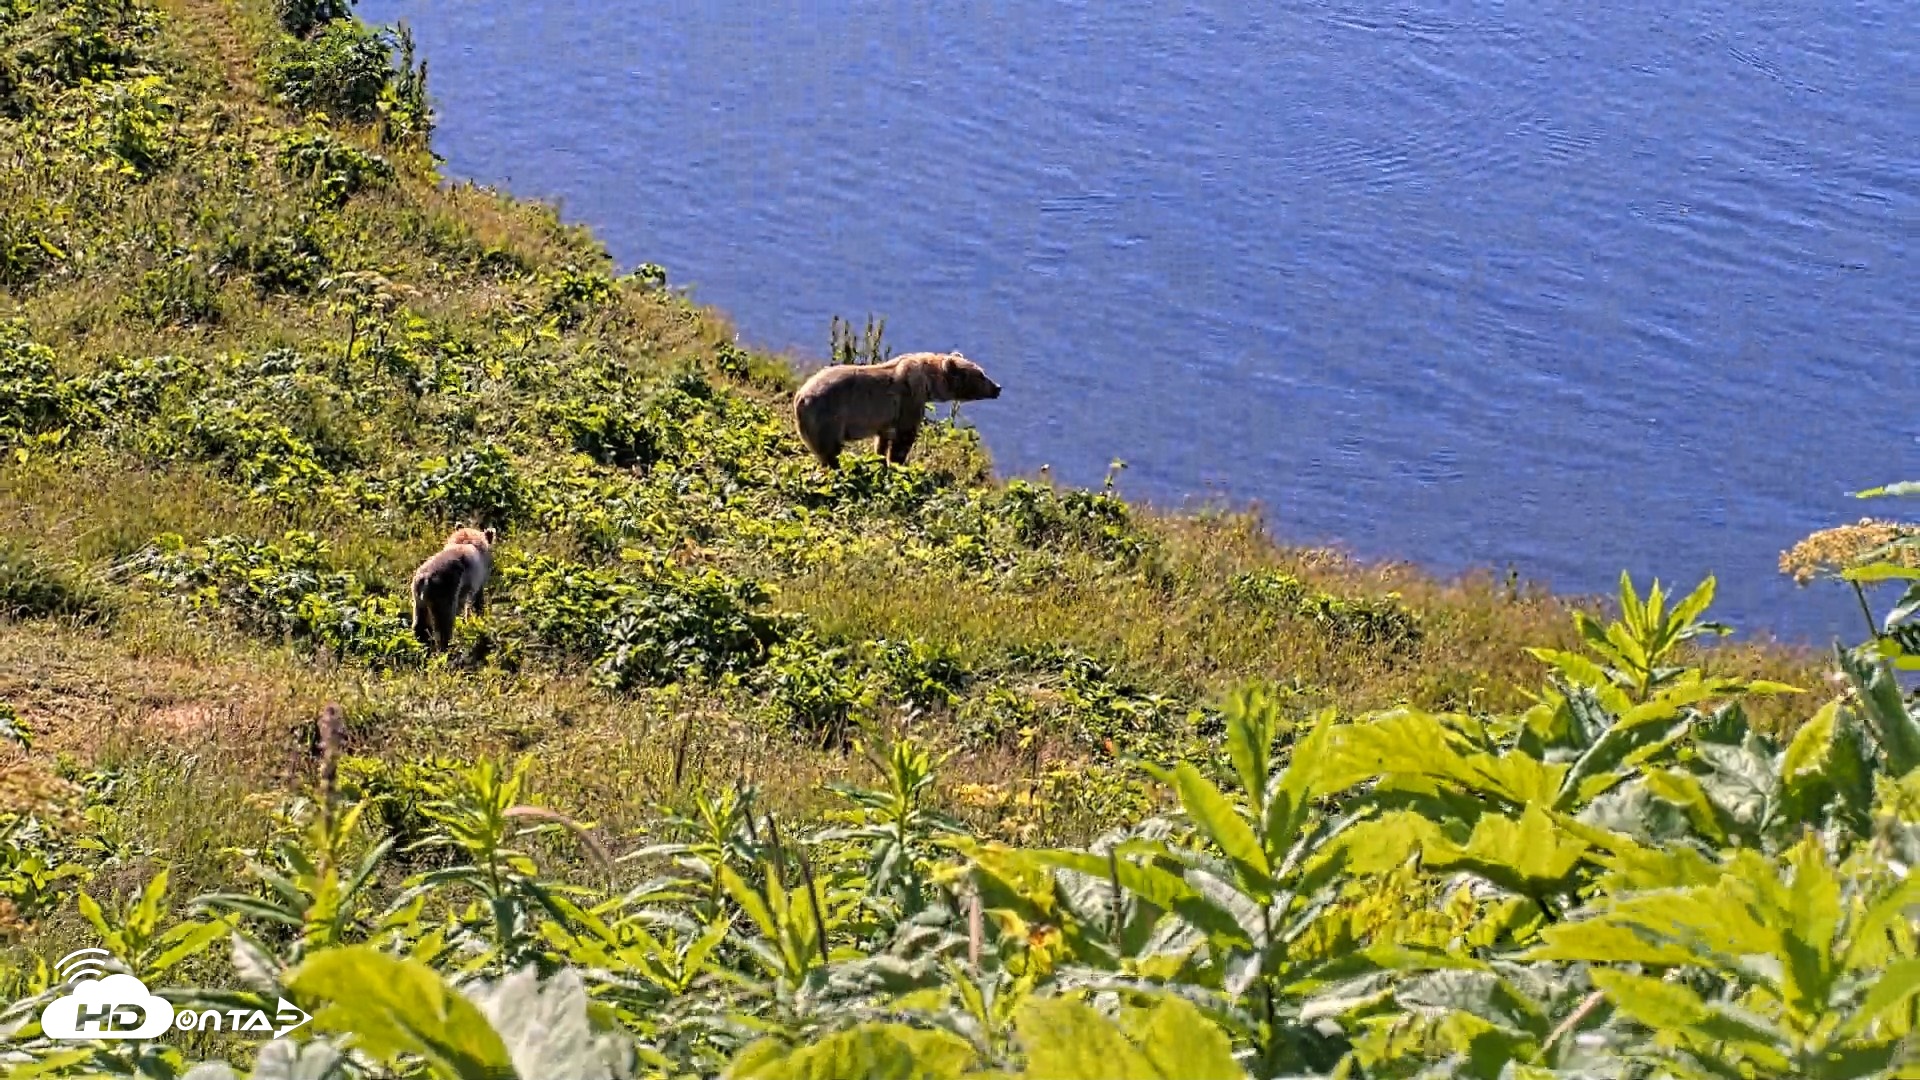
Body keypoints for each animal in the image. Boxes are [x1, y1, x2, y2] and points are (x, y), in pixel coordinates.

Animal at [791, 351, 1002, 468]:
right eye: (981, 375)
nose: (998, 387)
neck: (929, 383)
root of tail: (800, 397)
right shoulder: (909, 400)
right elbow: (904, 437)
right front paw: (897, 464)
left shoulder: (886, 417)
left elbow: (883, 439)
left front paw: (879, 458)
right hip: (828, 417)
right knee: (831, 450)